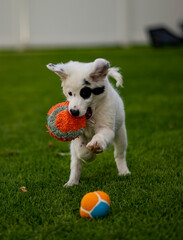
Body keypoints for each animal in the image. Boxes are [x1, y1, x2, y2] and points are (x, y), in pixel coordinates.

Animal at [46, 59, 130, 187]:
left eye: (85, 93)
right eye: (69, 93)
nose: (73, 112)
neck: (91, 117)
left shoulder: (107, 127)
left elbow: (101, 135)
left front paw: (95, 145)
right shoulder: (77, 134)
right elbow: (81, 150)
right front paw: (89, 155)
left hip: (121, 133)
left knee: (119, 154)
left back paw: (124, 172)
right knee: (75, 163)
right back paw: (72, 182)